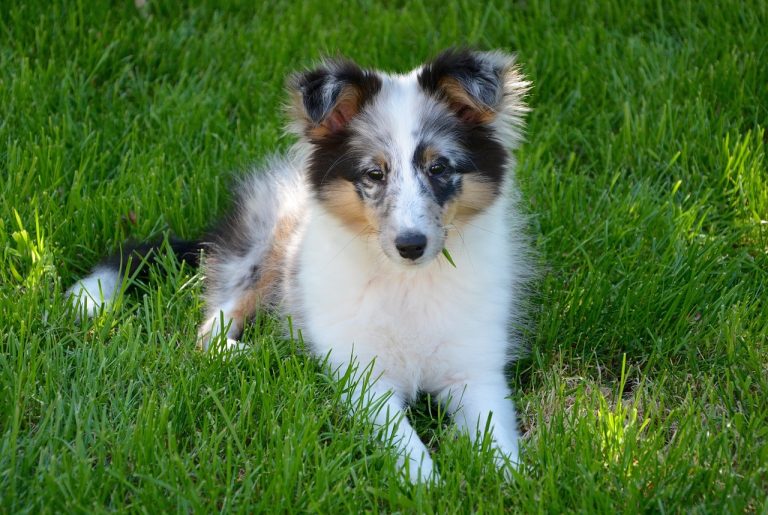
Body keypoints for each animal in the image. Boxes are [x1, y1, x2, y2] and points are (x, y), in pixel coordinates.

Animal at [67, 48, 536, 484]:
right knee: (212, 330)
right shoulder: (366, 379)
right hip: (263, 253)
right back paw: (259, 354)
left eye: (439, 168)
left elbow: (497, 439)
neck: (408, 283)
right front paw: (427, 485)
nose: (411, 245)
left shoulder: (476, 372)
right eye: (374, 174)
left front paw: (510, 482)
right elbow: (405, 440)